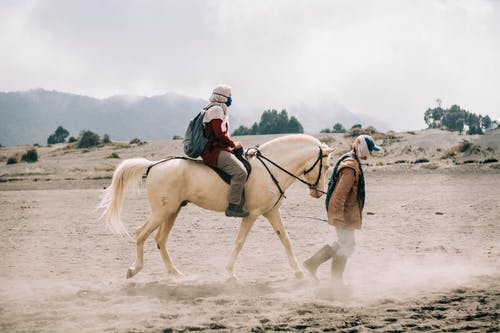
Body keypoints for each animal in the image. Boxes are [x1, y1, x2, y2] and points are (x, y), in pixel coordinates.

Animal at [98, 134, 336, 278]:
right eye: (325, 166)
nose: (317, 193)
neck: (270, 169)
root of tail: (153, 165)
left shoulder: (271, 212)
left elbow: (285, 240)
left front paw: (298, 272)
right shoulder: (251, 215)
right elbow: (239, 242)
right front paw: (229, 272)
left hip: (172, 211)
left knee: (160, 240)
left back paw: (175, 273)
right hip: (162, 212)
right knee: (141, 234)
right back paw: (134, 269)